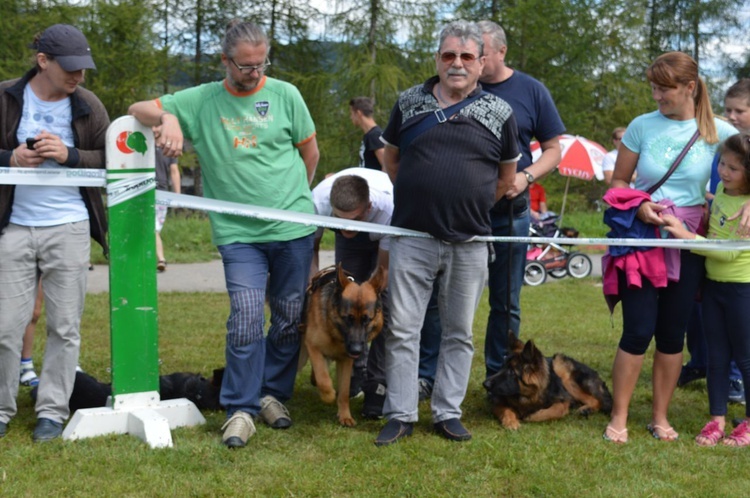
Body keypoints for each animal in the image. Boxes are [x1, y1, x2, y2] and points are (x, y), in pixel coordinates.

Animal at [302, 264, 388, 424]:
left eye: (366, 320)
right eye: (348, 318)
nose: (356, 351)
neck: (336, 333)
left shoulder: (346, 361)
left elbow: (344, 391)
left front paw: (345, 416)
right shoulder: (312, 346)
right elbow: (323, 378)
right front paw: (328, 395)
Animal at [484, 330, 612, 428]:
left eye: (511, 372)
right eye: (501, 368)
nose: (485, 384)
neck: (529, 396)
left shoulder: (563, 401)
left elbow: (553, 411)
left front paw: (530, 416)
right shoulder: (498, 402)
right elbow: (506, 410)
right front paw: (511, 422)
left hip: (560, 367)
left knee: (597, 400)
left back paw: (586, 409)